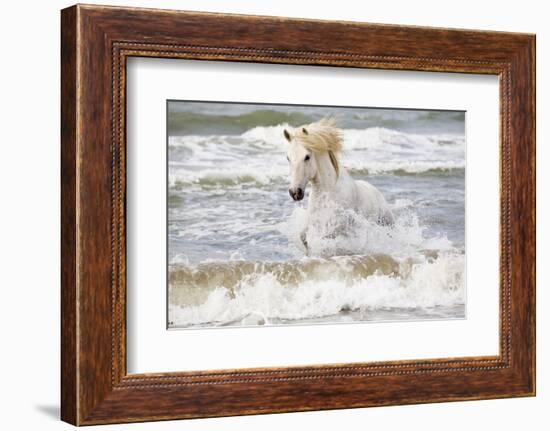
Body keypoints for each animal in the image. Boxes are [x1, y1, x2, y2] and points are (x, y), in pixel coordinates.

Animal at [286, 116, 394, 255]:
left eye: (307, 157)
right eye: (288, 158)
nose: (295, 192)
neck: (329, 192)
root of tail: (377, 193)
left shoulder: (336, 228)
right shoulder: (314, 223)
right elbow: (304, 237)